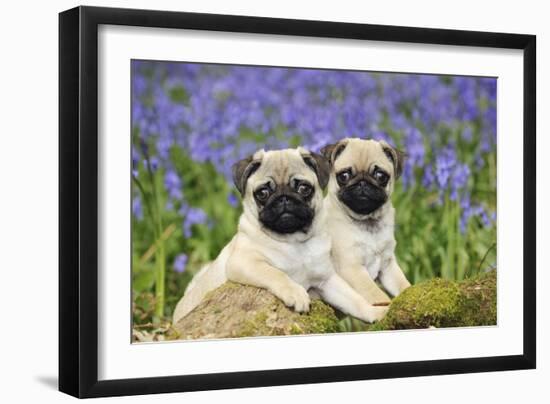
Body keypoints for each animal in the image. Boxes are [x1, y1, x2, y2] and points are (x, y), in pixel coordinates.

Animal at [172, 147, 388, 324]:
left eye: (303, 188)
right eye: (263, 193)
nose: (284, 199)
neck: (294, 242)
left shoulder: (328, 281)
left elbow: (355, 300)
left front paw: (376, 313)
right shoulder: (244, 262)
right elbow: (276, 273)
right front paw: (296, 293)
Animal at [322, 139, 412, 306]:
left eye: (380, 176)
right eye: (344, 176)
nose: (362, 183)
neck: (368, 222)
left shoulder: (388, 266)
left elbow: (404, 285)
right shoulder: (353, 269)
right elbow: (377, 295)